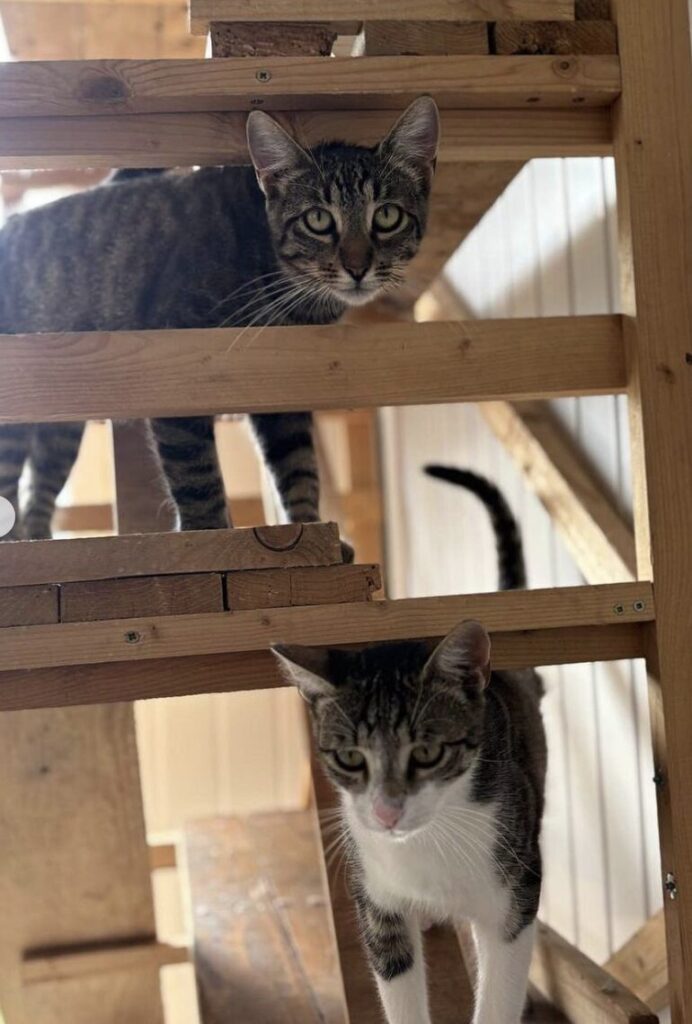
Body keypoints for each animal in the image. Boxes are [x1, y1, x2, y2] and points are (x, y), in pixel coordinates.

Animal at [0, 97, 438, 544]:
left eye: (387, 216)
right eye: (317, 219)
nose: (357, 267)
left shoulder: (282, 395)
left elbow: (299, 466)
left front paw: (309, 527)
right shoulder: (179, 370)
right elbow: (196, 476)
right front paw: (209, 535)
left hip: (60, 432)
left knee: (38, 493)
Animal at [274, 468, 544, 1024]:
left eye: (426, 753)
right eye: (349, 757)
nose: (385, 812)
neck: (427, 845)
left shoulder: (516, 892)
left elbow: (501, 986)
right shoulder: (376, 898)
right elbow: (395, 974)